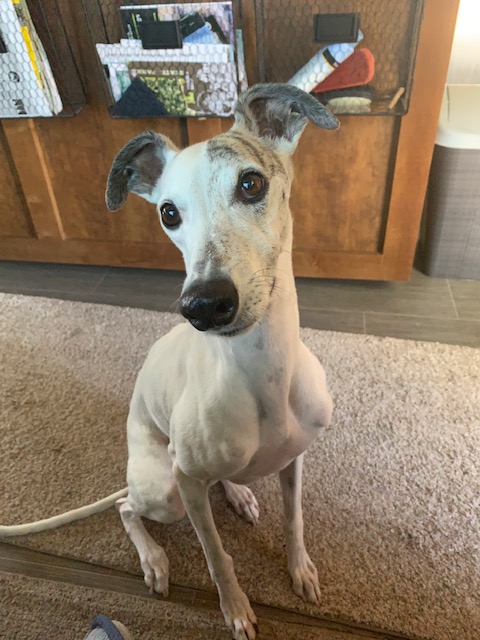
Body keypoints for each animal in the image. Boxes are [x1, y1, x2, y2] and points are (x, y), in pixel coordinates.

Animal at [105, 84, 338, 640]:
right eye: (168, 213)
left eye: (251, 184)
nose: (204, 306)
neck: (266, 370)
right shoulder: (189, 485)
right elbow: (215, 555)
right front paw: (235, 608)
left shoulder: (295, 459)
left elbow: (294, 519)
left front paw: (301, 571)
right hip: (165, 489)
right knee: (126, 507)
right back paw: (154, 561)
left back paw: (237, 493)